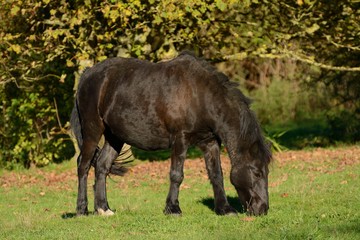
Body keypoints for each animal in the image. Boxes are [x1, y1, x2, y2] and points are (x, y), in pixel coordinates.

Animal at [70, 52, 272, 218]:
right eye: (257, 172)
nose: (263, 209)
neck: (199, 95)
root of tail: (87, 74)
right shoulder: (180, 139)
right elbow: (177, 174)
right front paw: (173, 209)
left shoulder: (210, 142)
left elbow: (216, 174)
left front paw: (224, 209)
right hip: (92, 130)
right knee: (83, 165)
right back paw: (82, 209)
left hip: (115, 137)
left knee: (102, 166)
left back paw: (103, 209)